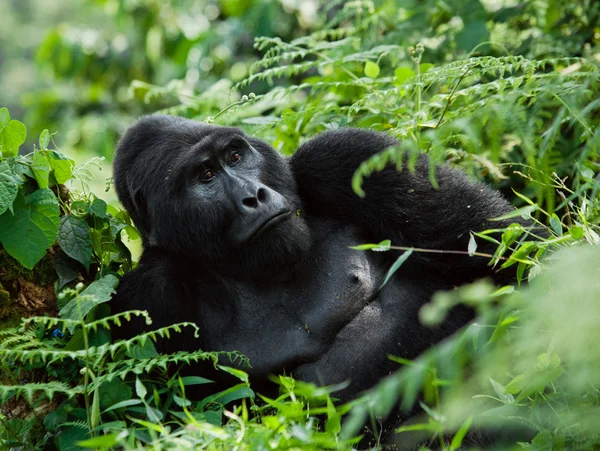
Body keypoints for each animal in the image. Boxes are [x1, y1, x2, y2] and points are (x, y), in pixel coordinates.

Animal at [112, 115, 524, 400]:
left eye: (236, 155)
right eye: (206, 176)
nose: (254, 196)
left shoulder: (346, 157)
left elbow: (510, 252)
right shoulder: (149, 296)